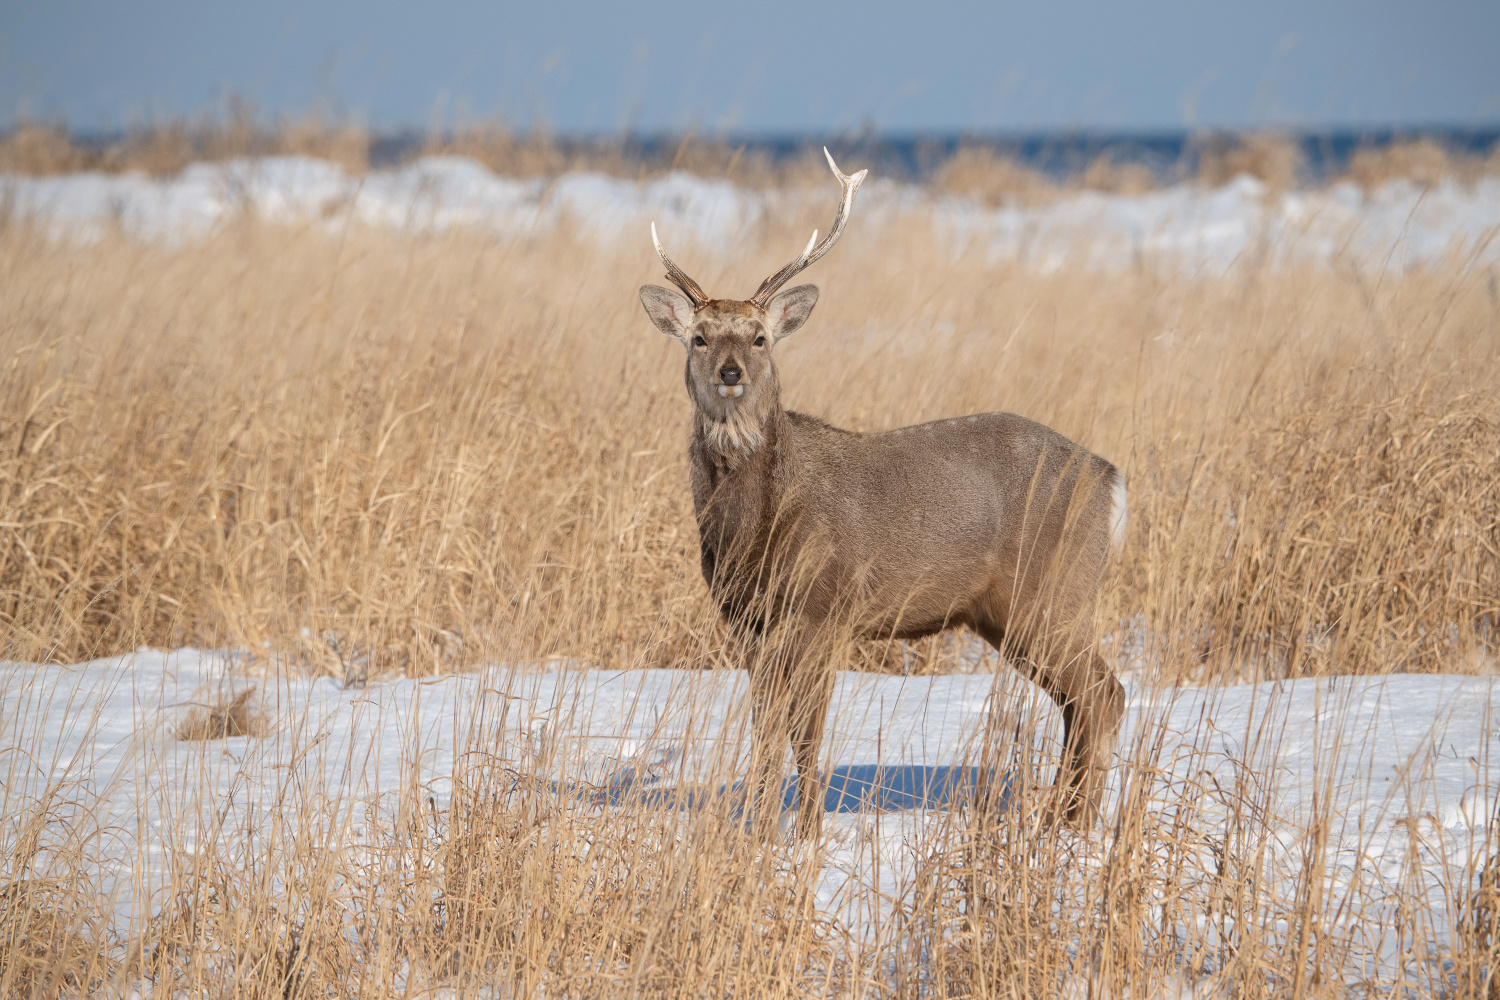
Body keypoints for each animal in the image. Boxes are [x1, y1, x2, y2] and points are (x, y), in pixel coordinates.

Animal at [636, 146, 1128, 839]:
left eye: (759, 337)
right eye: (700, 337)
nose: (730, 373)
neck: (754, 530)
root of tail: (1112, 479)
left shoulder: (822, 608)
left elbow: (805, 734)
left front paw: (806, 833)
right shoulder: (749, 625)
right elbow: (765, 735)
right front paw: (759, 827)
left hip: (1056, 589)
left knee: (1102, 694)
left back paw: (1073, 826)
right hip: (1009, 611)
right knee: (1081, 700)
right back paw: (1064, 819)